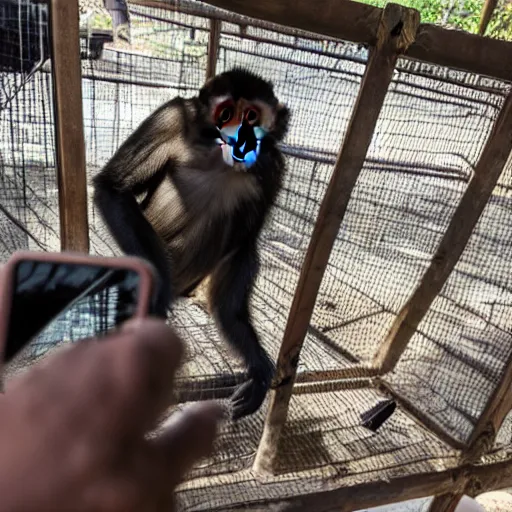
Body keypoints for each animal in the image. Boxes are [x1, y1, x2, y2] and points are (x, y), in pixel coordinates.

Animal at [92, 68, 290, 420]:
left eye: (251, 116)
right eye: (225, 113)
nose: (240, 136)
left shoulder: (272, 165)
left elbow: (244, 245)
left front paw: (257, 364)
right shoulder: (172, 116)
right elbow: (111, 188)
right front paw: (156, 294)